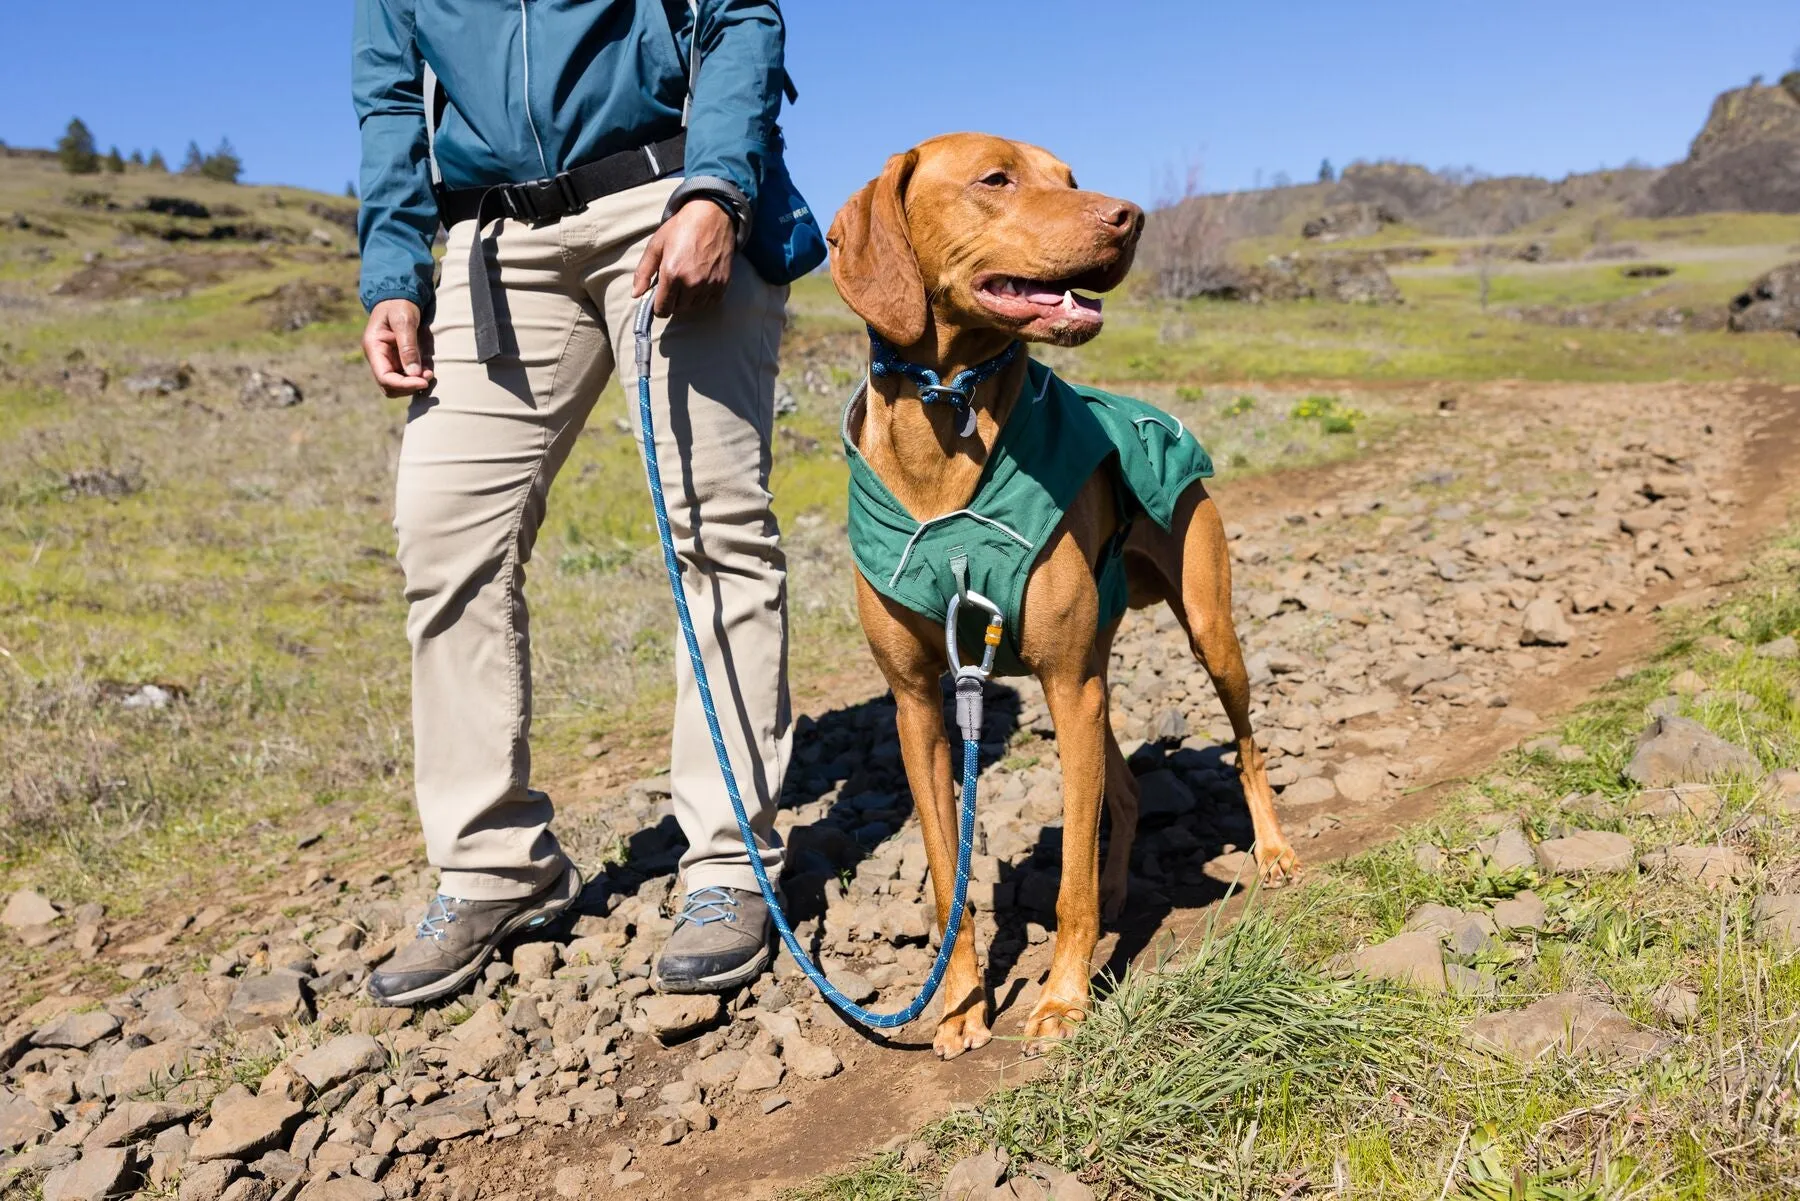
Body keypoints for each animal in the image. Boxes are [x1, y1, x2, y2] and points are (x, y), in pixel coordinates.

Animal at [828, 134, 1296, 1058]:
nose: (1130, 217)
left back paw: (1271, 850)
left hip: (1200, 629)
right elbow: (947, 871)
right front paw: (962, 1006)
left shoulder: (1065, 679)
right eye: (995, 178)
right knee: (1123, 787)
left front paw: (1063, 998)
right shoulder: (919, 706)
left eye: (1071, 178)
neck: (947, 420)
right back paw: (1121, 891)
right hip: (1089, 677)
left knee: (1246, 745)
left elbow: (1066, 879)